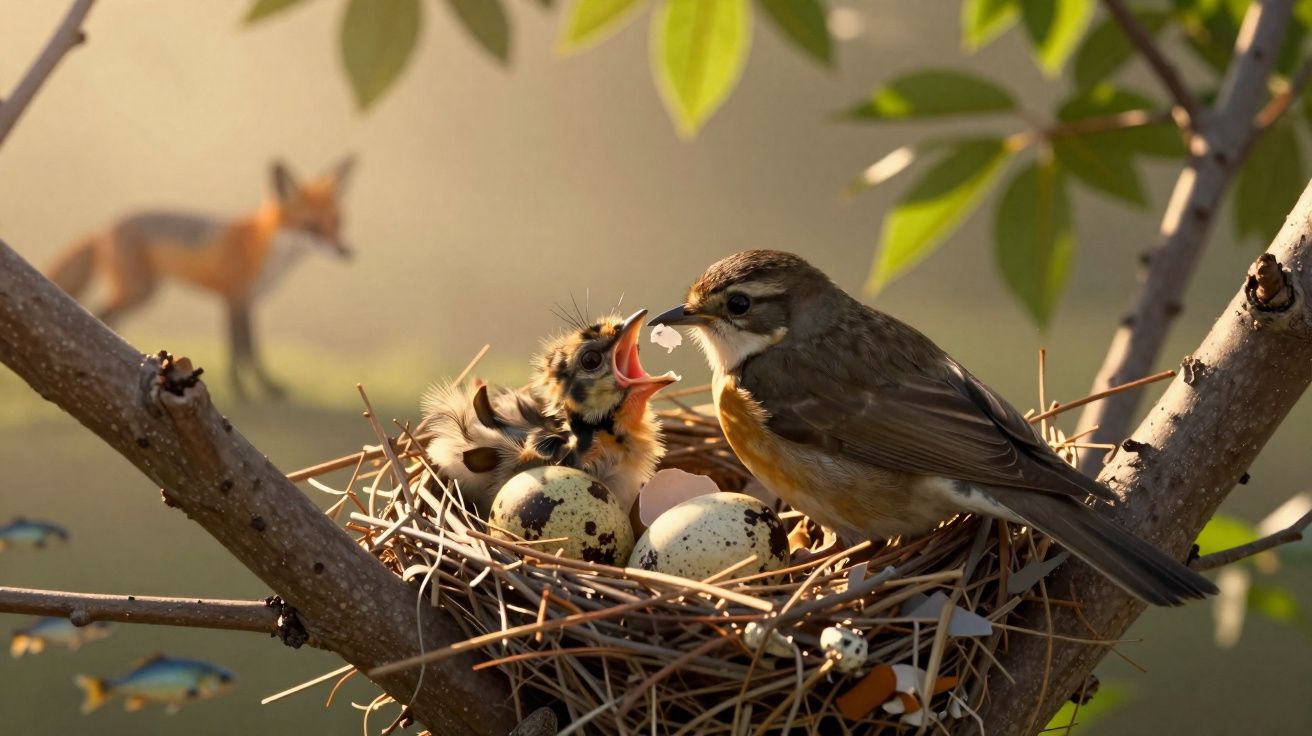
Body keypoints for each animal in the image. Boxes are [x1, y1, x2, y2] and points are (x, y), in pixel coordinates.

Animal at [46, 157, 355, 398]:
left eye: (337, 223)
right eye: (311, 227)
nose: (346, 252)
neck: (263, 249)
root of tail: (104, 226)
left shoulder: (248, 302)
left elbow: (250, 349)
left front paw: (262, 388)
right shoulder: (234, 299)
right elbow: (240, 351)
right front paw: (245, 392)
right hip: (139, 293)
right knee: (100, 313)